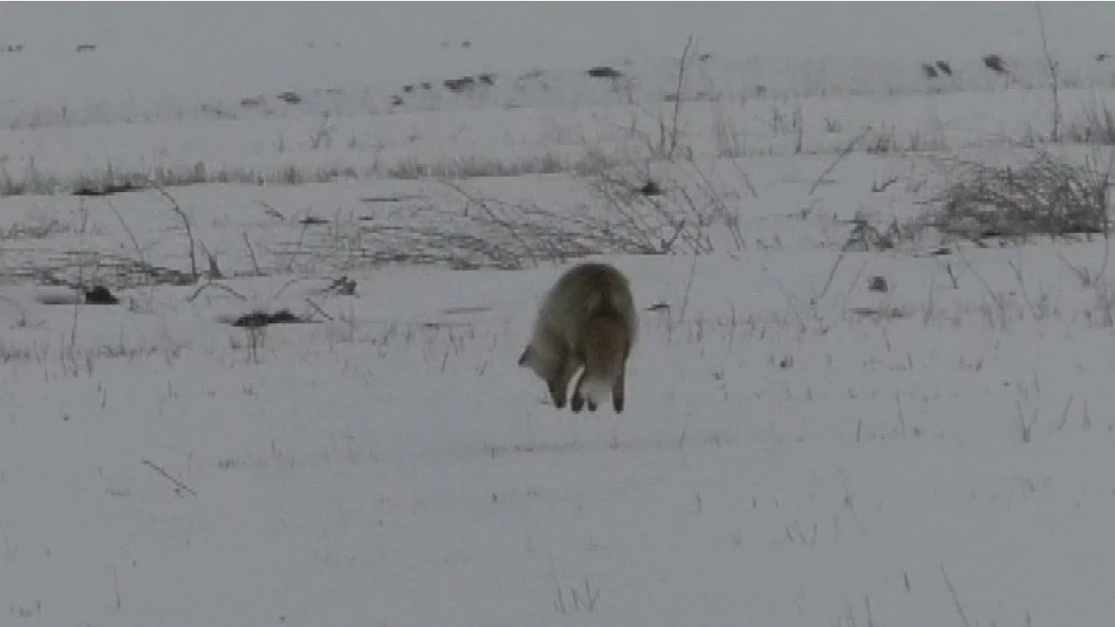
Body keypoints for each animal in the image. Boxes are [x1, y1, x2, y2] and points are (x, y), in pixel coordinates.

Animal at [515, 261, 637, 412]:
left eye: (549, 382)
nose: (559, 405)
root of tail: (603, 291)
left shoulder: (570, 352)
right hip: (623, 349)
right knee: (616, 381)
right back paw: (615, 409)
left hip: (582, 349)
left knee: (587, 376)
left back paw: (578, 405)